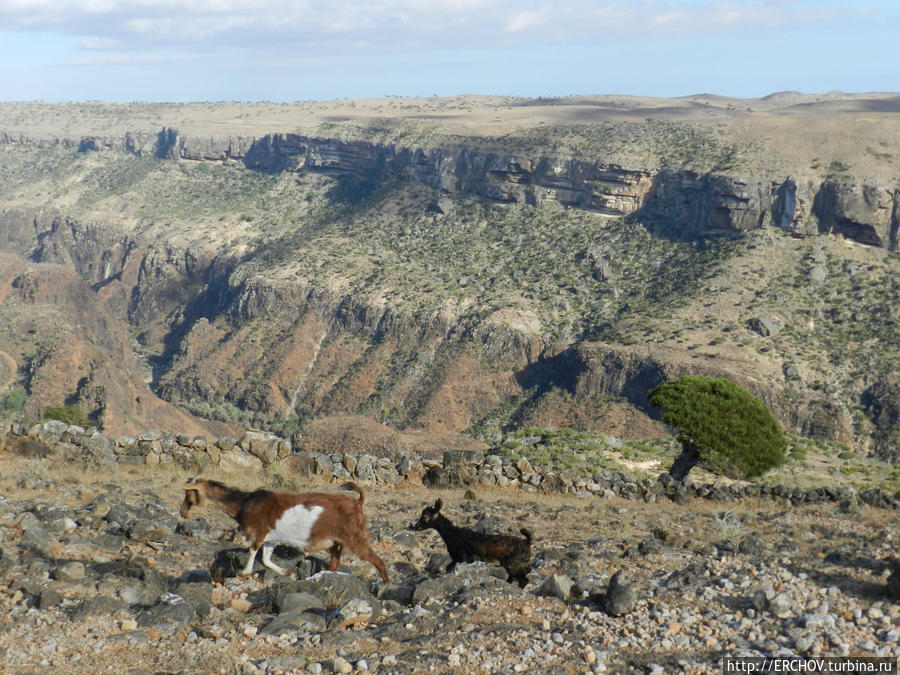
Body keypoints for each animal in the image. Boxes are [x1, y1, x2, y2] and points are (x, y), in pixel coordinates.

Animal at [183, 478, 390, 584]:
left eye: (190, 495)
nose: (183, 512)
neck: (243, 504)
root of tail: (358, 502)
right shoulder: (270, 538)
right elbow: (266, 559)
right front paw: (289, 574)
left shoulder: (259, 532)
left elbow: (253, 551)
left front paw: (244, 572)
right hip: (336, 542)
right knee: (334, 563)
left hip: (354, 537)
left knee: (378, 561)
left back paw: (386, 584)